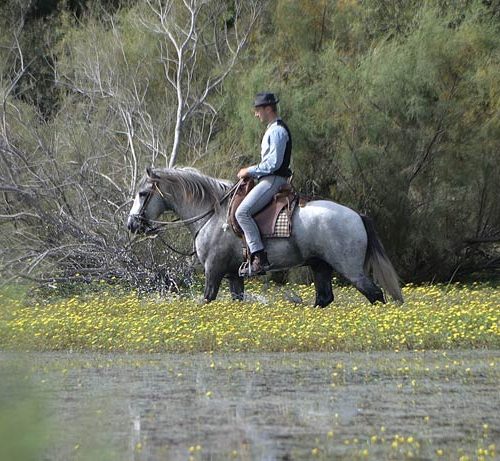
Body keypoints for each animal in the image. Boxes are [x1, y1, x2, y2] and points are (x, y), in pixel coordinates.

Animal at [127, 166, 404, 306]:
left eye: (142, 194)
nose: (132, 224)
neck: (213, 214)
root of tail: (358, 216)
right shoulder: (232, 275)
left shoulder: (213, 271)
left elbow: (206, 300)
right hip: (320, 266)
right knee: (324, 298)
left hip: (350, 269)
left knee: (375, 294)